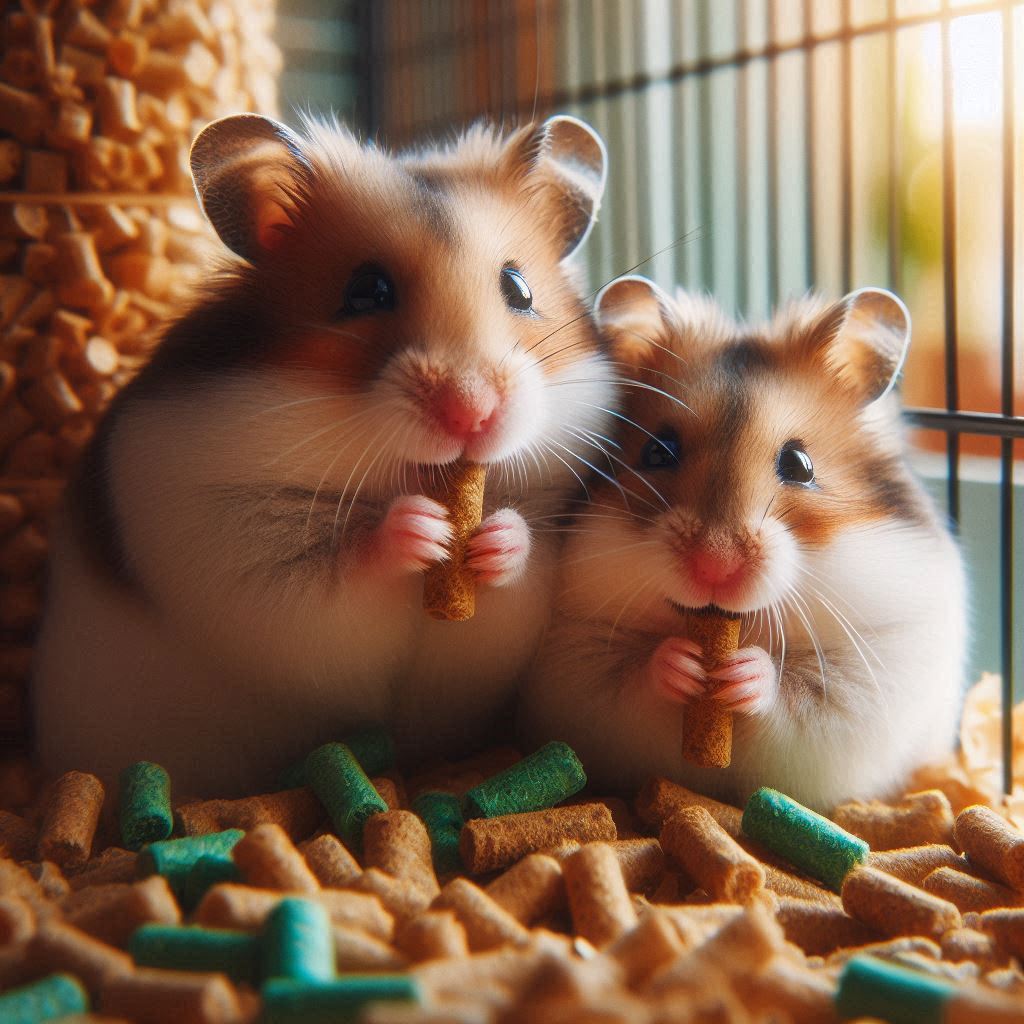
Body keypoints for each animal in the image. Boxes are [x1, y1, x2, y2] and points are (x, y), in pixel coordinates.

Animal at [34, 114, 614, 798]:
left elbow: (513, 576)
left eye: (519, 288)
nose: (472, 414)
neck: (398, 478)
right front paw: (420, 529)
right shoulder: (230, 547)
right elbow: (338, 584)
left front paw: (497, 538)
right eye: (365, 290)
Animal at [520, 276, 966, 811]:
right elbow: (632, 684)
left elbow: (797, 696)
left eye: (800, 465)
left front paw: (744, 672)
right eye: (657, 451)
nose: (714, 566)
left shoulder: (870, 679)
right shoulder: (576, 667)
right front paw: (681, 664)